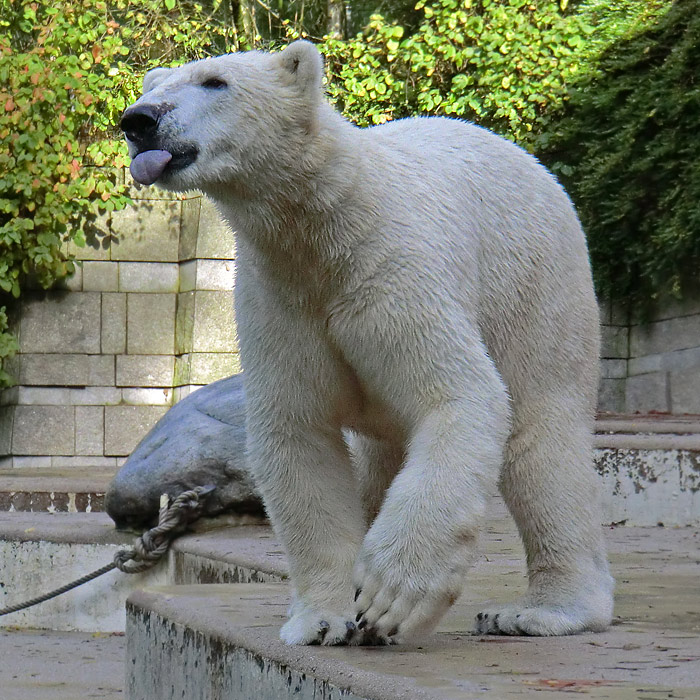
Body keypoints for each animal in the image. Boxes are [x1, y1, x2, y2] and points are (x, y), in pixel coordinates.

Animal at [121, 39, 612, 644]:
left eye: (215, 82)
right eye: (153, 88)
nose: (138, 121)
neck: (327, 224)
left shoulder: (394, 273)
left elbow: (458, 397)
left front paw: (390, 597)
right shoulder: (279, 301)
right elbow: (298, 434)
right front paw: (322, 621)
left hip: (535, 288)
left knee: (541, 438)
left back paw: (539, 612)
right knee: (380, 460)